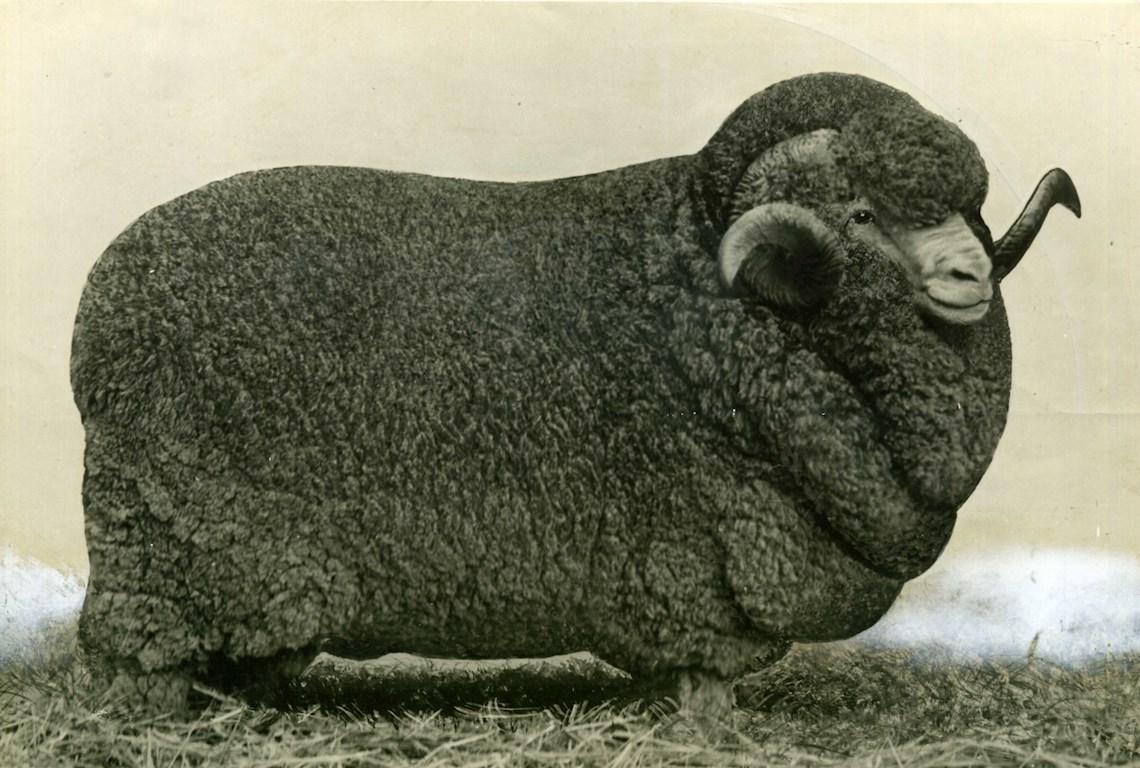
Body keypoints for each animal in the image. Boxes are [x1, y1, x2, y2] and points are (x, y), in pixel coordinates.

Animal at [68, 68, 1076, 715]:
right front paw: (709, 729)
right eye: (861, 214)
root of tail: (97, 304)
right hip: (170, 545)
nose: (968, 278)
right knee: (135, 660)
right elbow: (706, 686)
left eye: (969, 210)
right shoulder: (696, 566)